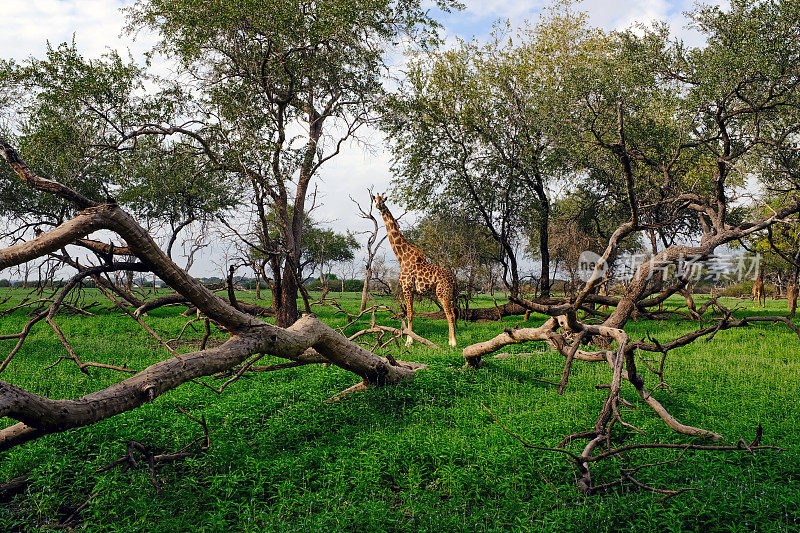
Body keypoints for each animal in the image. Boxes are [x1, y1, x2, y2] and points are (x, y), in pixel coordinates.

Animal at [376, 193, 456, 348]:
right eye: (374, 199)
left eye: (383, 200)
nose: (378, 206)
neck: (402, 257)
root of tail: (453, 279)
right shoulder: (411, 290)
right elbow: (411, 313)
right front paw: (410, 339)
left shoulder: (406, 287)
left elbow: (409, 313)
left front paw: (409, 341)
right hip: (448, 294)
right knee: (453, 314)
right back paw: (451, 340)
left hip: (442, 292)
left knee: (449, 314)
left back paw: (453, 343)